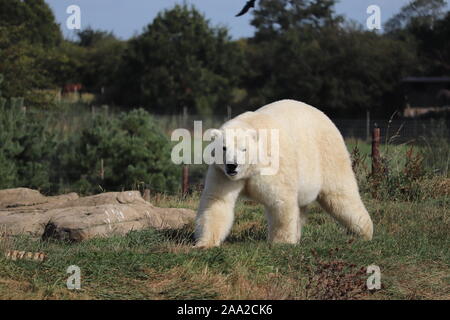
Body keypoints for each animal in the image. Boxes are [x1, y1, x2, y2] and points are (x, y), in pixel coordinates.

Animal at [193, 99, 372, 248]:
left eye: (243, 149)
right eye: (224, 148)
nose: (232, 165)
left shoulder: (274, 165)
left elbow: (280, 200)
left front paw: (282, 243)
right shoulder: (221, 173)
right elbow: (217, 201)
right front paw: (204, 244)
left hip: (328, 155)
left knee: (341, 195)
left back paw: (365, 231)